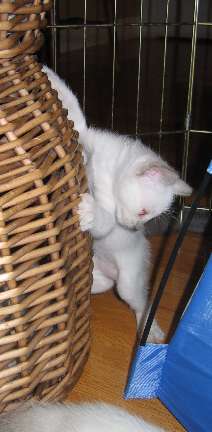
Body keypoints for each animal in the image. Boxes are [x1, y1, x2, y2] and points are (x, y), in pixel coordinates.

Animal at [43, 66, 192, 340]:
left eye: (145, 216)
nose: (134, 228)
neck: (109, 168)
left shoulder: (111, 218)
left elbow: (105, 223)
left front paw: (90, 211)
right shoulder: (83, 133)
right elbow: (73, 110)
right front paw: (47, 73)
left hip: (129, 281)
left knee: (138, 300)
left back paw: (151, 330)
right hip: (98, 269)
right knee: (102, 283)